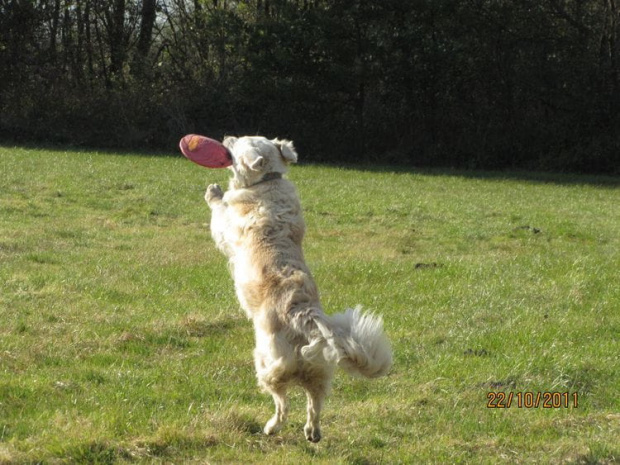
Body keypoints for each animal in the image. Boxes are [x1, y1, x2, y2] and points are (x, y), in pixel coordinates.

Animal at [206, 135, 394, 442]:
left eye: (240, 142)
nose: (227, 138)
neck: (267, 181)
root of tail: (304, 313)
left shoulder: (226, 227)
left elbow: (219, 213)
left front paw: (214, 192)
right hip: (319, 369)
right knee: (314, 402)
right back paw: (313, 432)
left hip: (267, 364)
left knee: (282, 403)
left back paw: (272, 427)